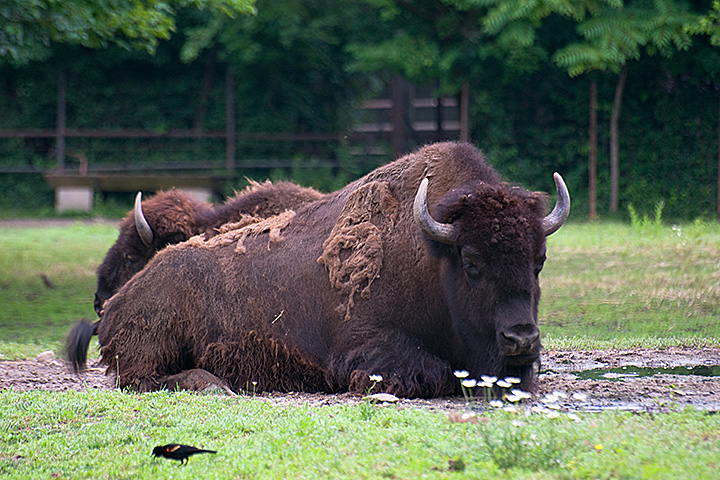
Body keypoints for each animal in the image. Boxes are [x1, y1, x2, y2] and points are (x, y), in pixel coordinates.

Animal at [95, 142, 569, 398]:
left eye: (539, 260)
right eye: (471, 263)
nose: (521, 338)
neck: (434, 257)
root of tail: (117, 304)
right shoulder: (366, 351)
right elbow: (433, 373)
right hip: (152, 342)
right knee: (142, 379)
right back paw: (214, 384)